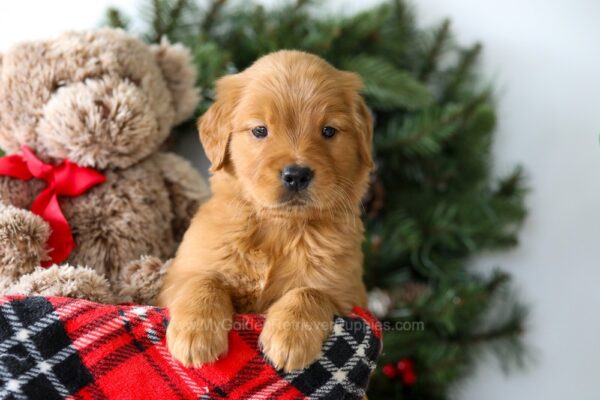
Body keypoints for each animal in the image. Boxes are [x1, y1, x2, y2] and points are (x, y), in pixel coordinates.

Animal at [157, 50, 372, 372]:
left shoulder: (348, 295)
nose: (297, 175)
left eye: (328, 131)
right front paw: (196, 334)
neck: (278, 228)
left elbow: (310, 291)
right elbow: (203, 280)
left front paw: (290, 337)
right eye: (260, 130)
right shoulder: (178, 276)